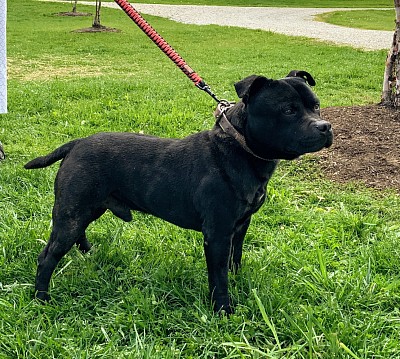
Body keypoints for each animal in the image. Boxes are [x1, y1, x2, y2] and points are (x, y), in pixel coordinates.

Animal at [24, 71, 332, 316]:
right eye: (288, 110)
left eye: (316, 106)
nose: (326, 126)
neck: (239, 148)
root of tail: (76, 144)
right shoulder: (217, 234)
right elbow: (218, 278)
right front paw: (223, 310)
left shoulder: (241, 226)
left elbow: (235, 259)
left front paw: (238, 281)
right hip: (71, 214)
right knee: (47, 257)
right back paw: (42, 299)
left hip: (85, 209)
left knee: (79, 233)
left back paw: (89, 254)